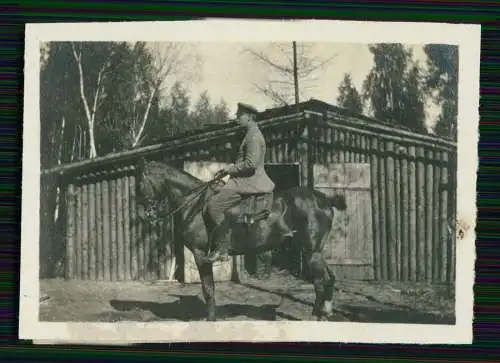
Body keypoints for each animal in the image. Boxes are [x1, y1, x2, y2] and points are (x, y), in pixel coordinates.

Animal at [138, 161, 348, 322]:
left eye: (142, 182)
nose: (145, 215)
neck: (195, 205)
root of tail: (322, 199)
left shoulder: (201, 255)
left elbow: (208, 290)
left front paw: (211, 320)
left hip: (311, 251)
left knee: (321, 281)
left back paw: (317, 316)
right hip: (314, 251)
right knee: (329, 278)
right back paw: (325, 312)